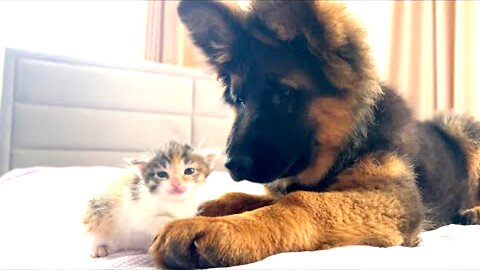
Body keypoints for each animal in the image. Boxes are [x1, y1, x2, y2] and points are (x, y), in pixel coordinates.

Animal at [82, 141, 218, 258]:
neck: (175, 202)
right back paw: (100, 249)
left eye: (189, 171)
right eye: (162, 174)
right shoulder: (138, 214)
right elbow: (156, 220)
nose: (176, 183)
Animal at [148, 1, 480, 268]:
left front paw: (220, 228)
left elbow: (302, 201)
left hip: (463, 131)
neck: (352, 142)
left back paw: (471, 212)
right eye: (239, 99)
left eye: (283, 95)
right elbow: (253, 197)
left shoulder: (395, 200)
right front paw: (211, 207)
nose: (231, 165)